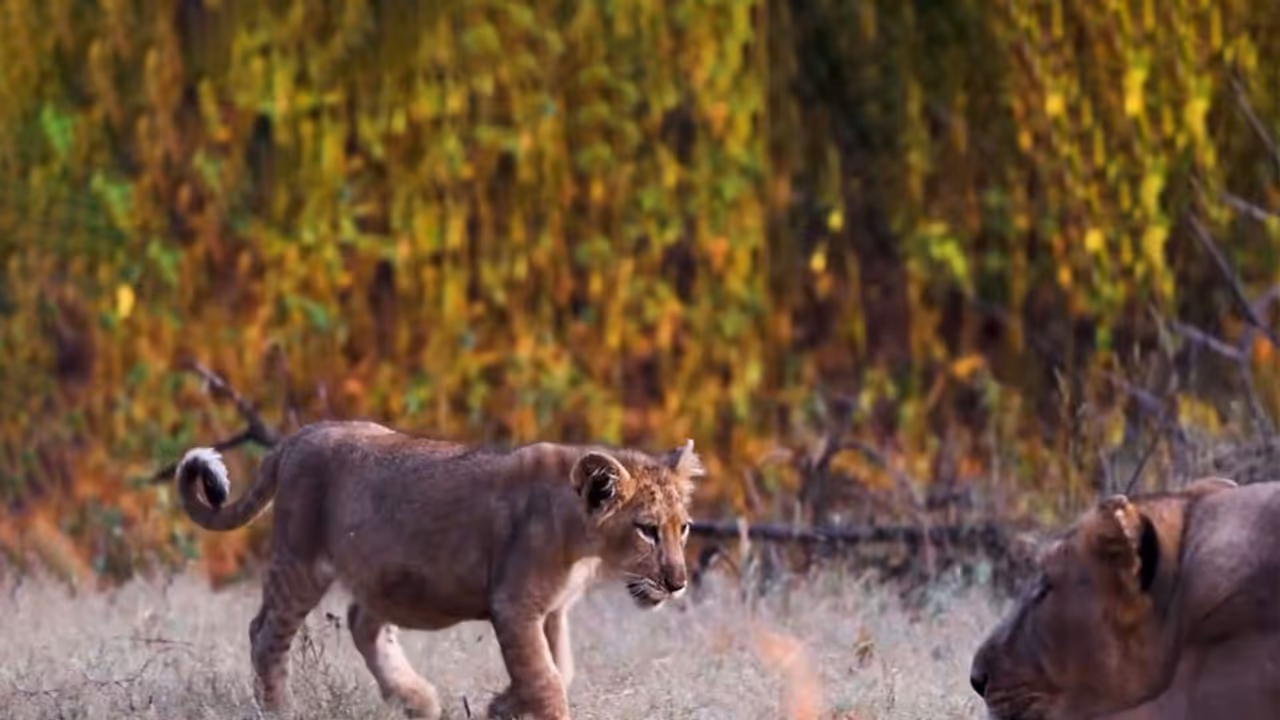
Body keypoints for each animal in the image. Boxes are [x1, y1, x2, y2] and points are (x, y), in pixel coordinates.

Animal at [173, 420, 703, 720]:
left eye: (684, 529)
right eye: (647, 531)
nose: (677, 583)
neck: (584, 542)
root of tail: (298, 435)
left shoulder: (553, 611)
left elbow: (560, 668)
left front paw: (502, 705)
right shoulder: (514, 605)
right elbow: (547, 680)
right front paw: (519, 705)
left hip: (380, 573)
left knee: (361, 624)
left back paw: (417, 701)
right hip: (302, 560)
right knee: (265, 633)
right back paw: (280, 710)